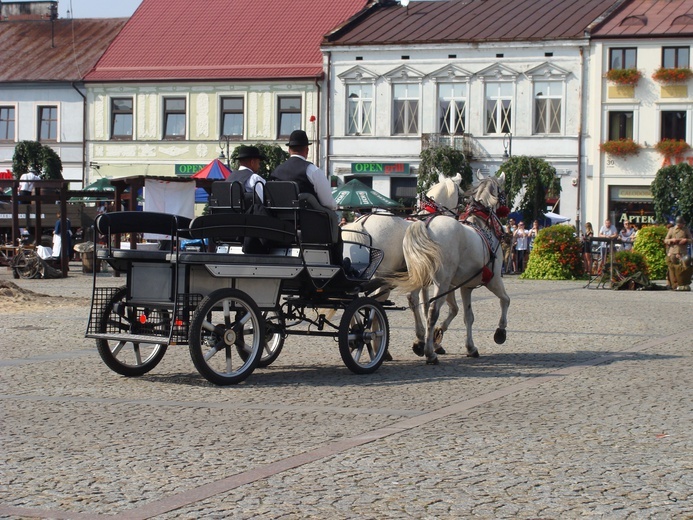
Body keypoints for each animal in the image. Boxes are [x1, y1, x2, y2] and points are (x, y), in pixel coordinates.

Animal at [394, 173, 508, 364]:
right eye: (503, 192)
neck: (482, 225)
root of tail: (425, 224)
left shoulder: (465, 285)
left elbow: (467, 316)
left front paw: (469, 347)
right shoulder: (493, 279)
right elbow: (505, 300)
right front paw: (500, 332)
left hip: (419, 276)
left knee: (414, 301)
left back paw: (420, 342)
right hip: (442, 282)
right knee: (432, 311)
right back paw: (429, 353)